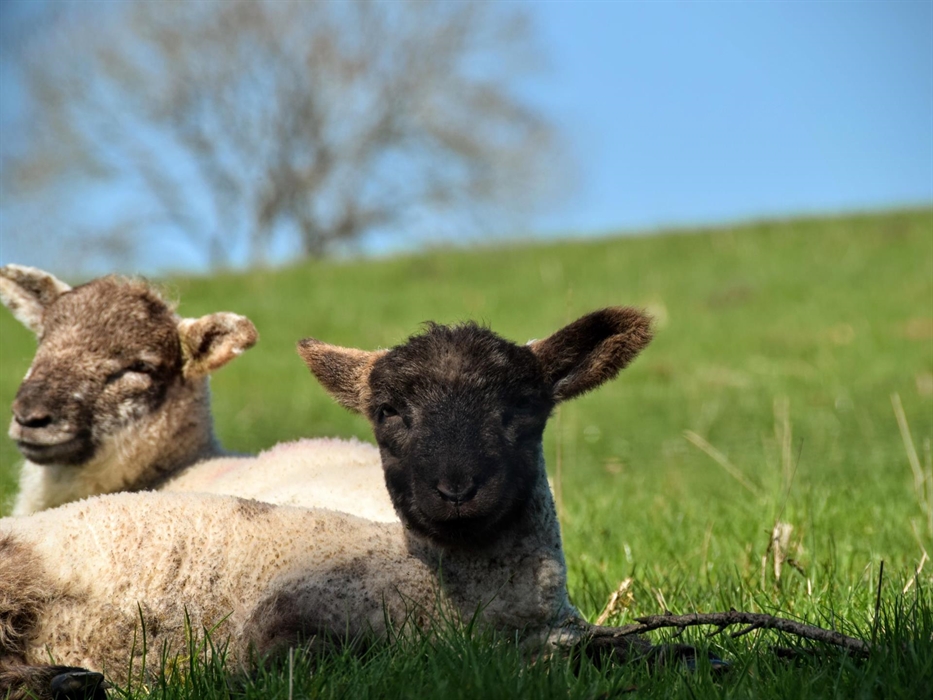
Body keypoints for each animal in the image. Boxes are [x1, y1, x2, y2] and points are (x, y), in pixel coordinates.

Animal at [0, 307, 657, 698]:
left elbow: (640, 650)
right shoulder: (283, 628)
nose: (455, 489)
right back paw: (65, 681)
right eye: (389, 413)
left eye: (522, 407)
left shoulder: (568, 633)